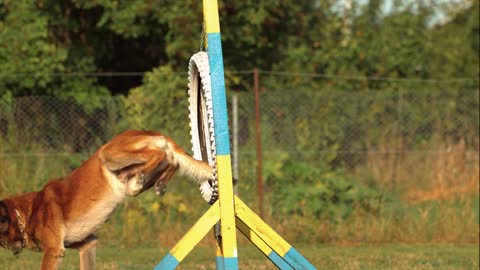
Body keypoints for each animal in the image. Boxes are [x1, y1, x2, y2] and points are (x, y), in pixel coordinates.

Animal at [0, 130, 214, 268]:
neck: (27, 213)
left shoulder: (54, 251)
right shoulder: (87, 245)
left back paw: (146, 177)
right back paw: (157, 183)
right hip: (128, 175)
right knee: (171, 161)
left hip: (108, 153)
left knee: (161, 154)